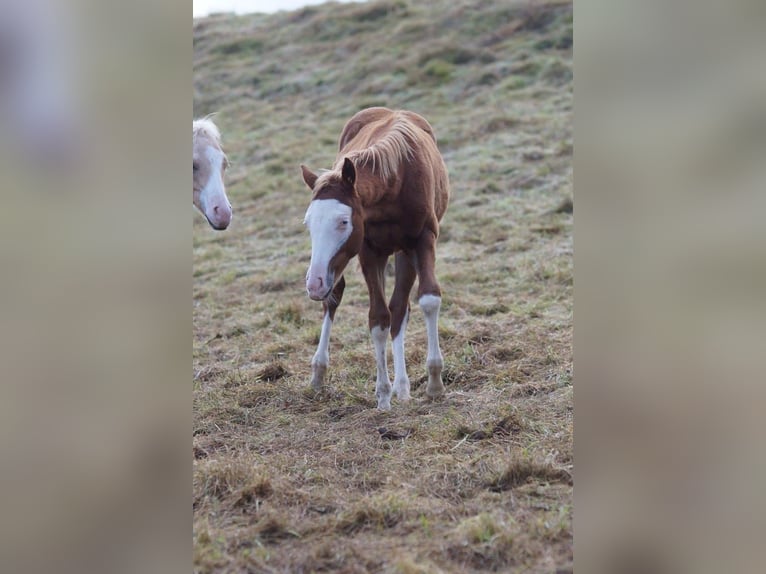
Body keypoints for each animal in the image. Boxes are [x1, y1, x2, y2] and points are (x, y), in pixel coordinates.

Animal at [302, 108, 450, 412]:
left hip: (404, 253)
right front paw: (382, 395)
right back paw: (319, 373)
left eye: (343, 221)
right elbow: (378, 318)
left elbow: (427, 299)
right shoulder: (369, 251)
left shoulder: (423, 240)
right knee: (335, 296)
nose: (313, 283)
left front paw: (434, 383)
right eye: (308, 223)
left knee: (400, 308)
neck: (395, 181)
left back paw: (403, 387)